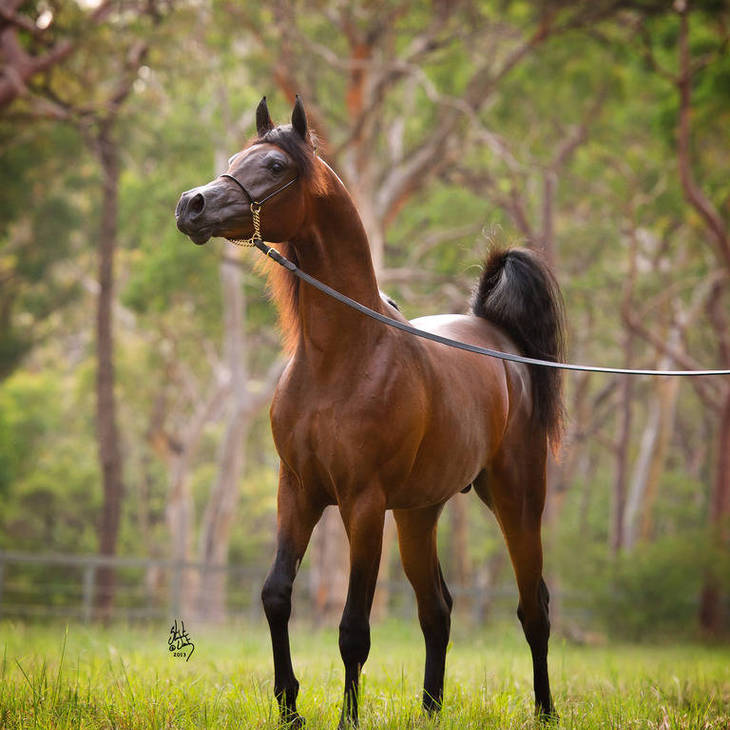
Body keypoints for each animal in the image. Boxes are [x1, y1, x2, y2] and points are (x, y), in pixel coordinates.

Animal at [176, 95, 565, 728]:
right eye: (235, 159)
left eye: (276, 165)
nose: (192, 205)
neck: (343, 357)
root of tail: (498, 335)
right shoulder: (298, 491)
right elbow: (275, 596)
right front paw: (290, 707)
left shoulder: (363, 504)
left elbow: (353, 629)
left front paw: (345, 718)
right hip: (419, 513)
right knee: (438, 610)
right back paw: (429, 711)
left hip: (515, 498)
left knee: (535, 609)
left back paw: (546, 711)